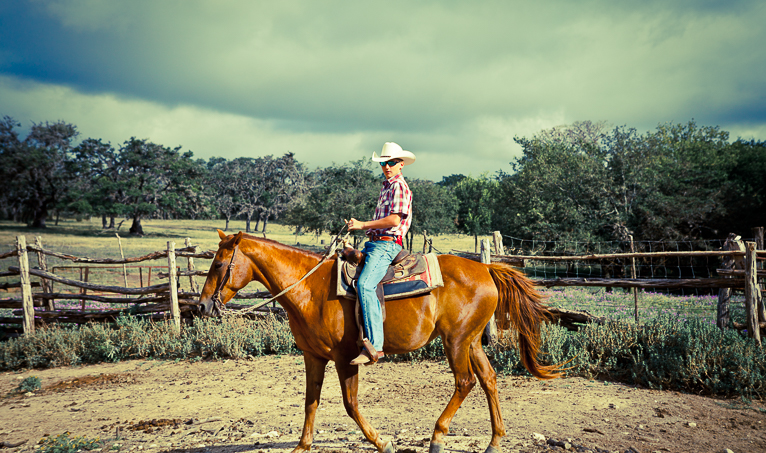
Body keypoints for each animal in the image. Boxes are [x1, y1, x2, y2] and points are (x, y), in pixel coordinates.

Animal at [196, 231, 560, 452]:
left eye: (219, 264)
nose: (202, 306)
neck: (310, 289)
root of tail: (487, 270)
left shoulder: (345, 357)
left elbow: (350, 404)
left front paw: (382, 442)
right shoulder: (313, 356)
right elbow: (310, 401)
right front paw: (302, 445)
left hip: (456, 340)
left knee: (465, 381)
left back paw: (437, 437)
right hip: (470, 340)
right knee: (488, 379)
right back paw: (494, 441)